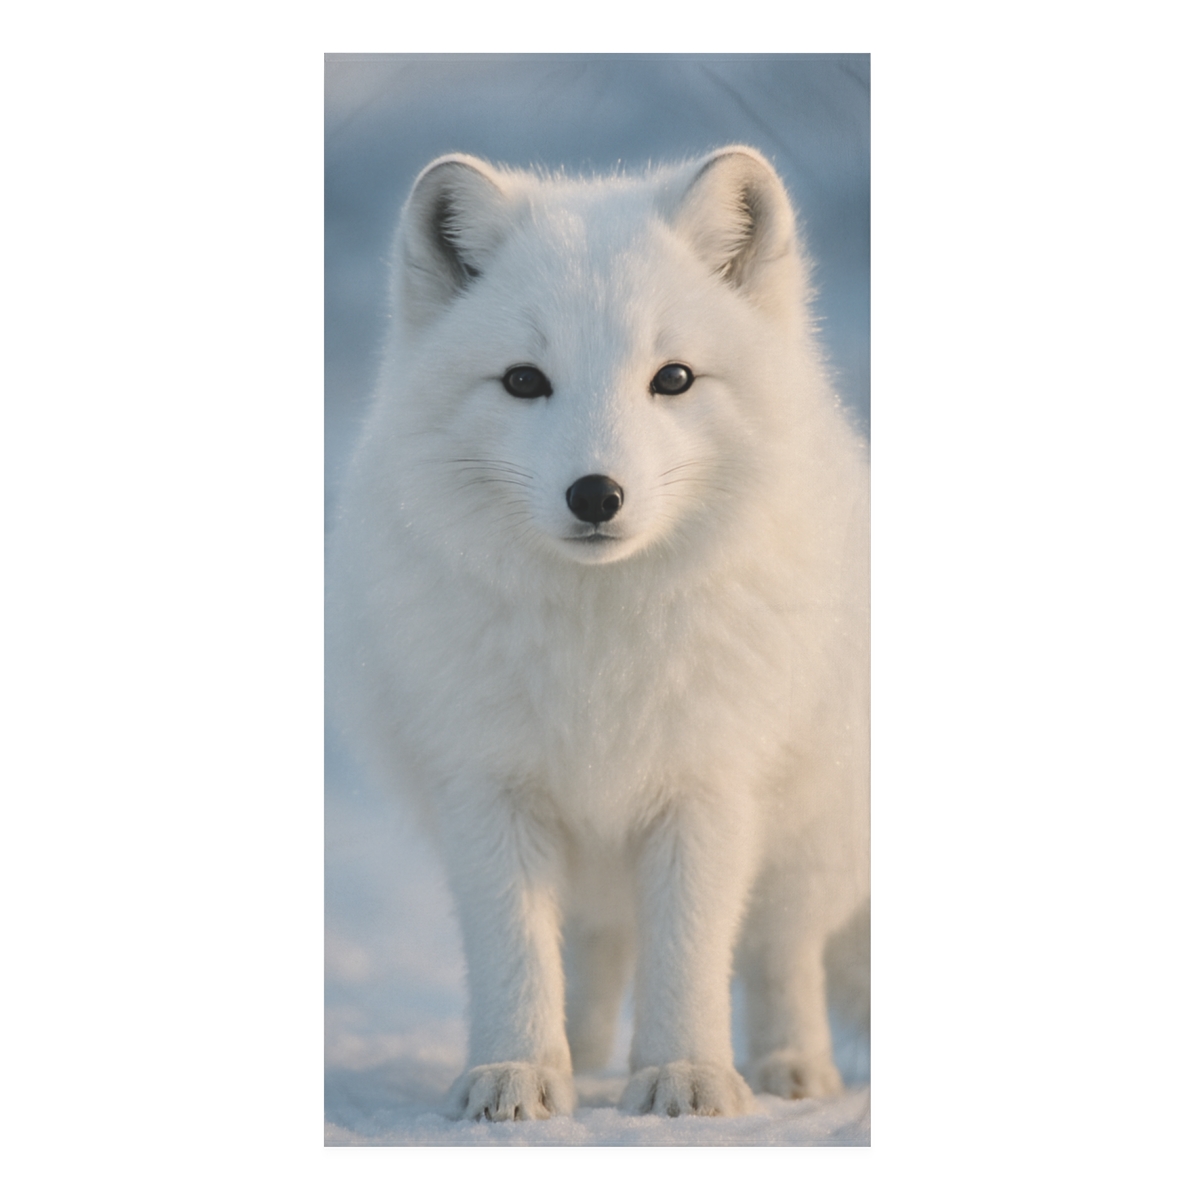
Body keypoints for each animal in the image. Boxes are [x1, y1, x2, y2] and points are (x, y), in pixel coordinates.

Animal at [327, 145, 869, 1120]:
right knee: (594, 952)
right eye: (523, 380)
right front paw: (517, 1073)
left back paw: (790, 1069)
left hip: (807, 837)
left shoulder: (708, 785)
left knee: (781, 953)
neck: (599, 647)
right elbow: (514, 954)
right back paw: (580, 1058)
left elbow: (691, 951)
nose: (596, 495)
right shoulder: (487, 788)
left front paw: (686, 1074)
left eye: (674, 379)